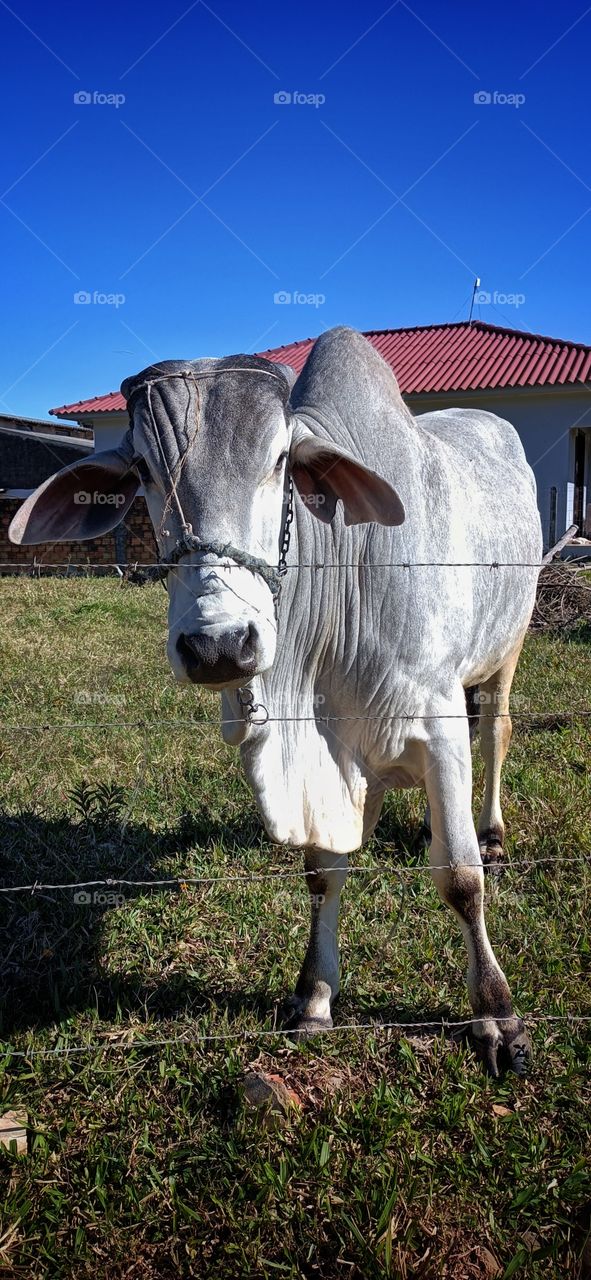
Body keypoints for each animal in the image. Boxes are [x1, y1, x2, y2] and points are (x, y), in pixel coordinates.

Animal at [10, 327, 543, 1075]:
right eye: (143, 469)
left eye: (281, 462)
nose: (218, 644)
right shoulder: (327, 751)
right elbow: (323, 872)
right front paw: (314, 997)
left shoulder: (437, 722)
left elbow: (460, 878)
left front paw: (496, 1016)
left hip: (507, 646)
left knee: (495, 732)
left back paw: (491, 830)